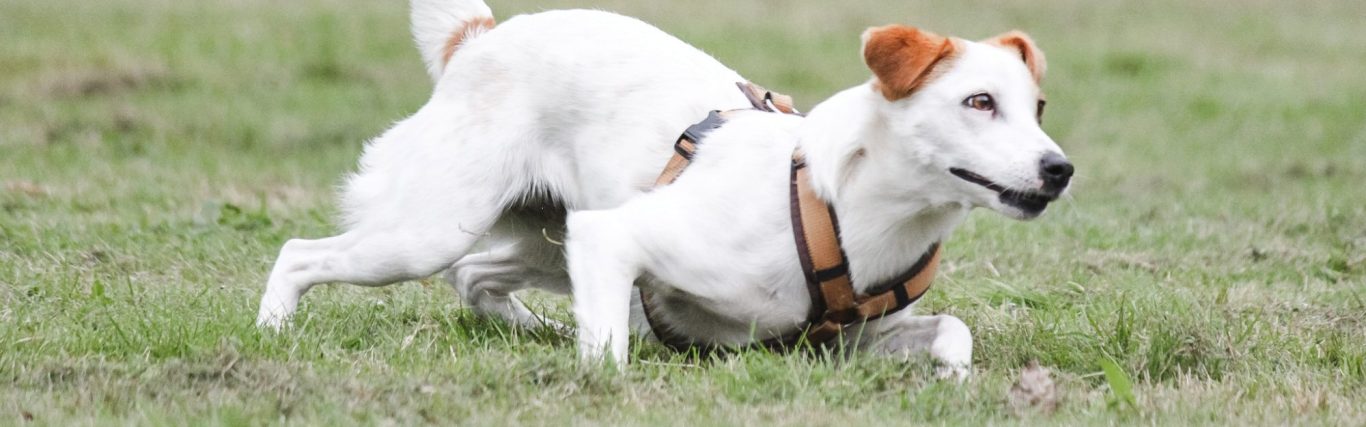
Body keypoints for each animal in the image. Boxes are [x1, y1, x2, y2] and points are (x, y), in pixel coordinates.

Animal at [254, 0, 1065, 379]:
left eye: (1038, 108)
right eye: (979, 102)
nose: (1060, 169)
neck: (843, 206)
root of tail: (478, 39)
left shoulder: (848, 342)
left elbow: (952, 330)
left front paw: (953, 379)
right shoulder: (618, 236)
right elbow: (608, 355)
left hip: (548, 238)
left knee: (477, 276)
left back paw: (535, 328)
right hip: (431, 230)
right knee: (301, 253)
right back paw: (272, 331)